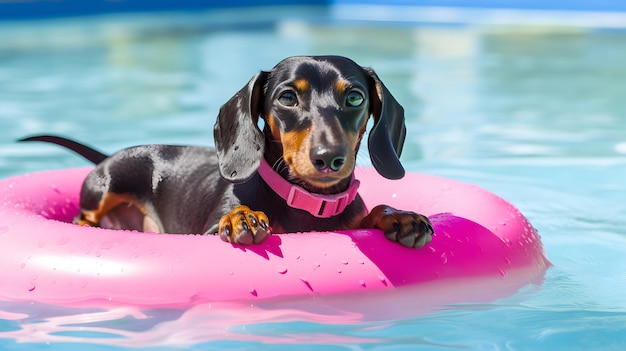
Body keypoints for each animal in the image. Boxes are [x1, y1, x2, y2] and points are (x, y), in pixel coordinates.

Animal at [19, 54, 428, 248]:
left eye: (355, 97)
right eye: (287, 97)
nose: (328, 158)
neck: (308, 202)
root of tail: (106, 157)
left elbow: (375, 212)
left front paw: (399, 216)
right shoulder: (205, 232)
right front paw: (242, 217)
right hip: (109, 182)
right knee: (83, 216)